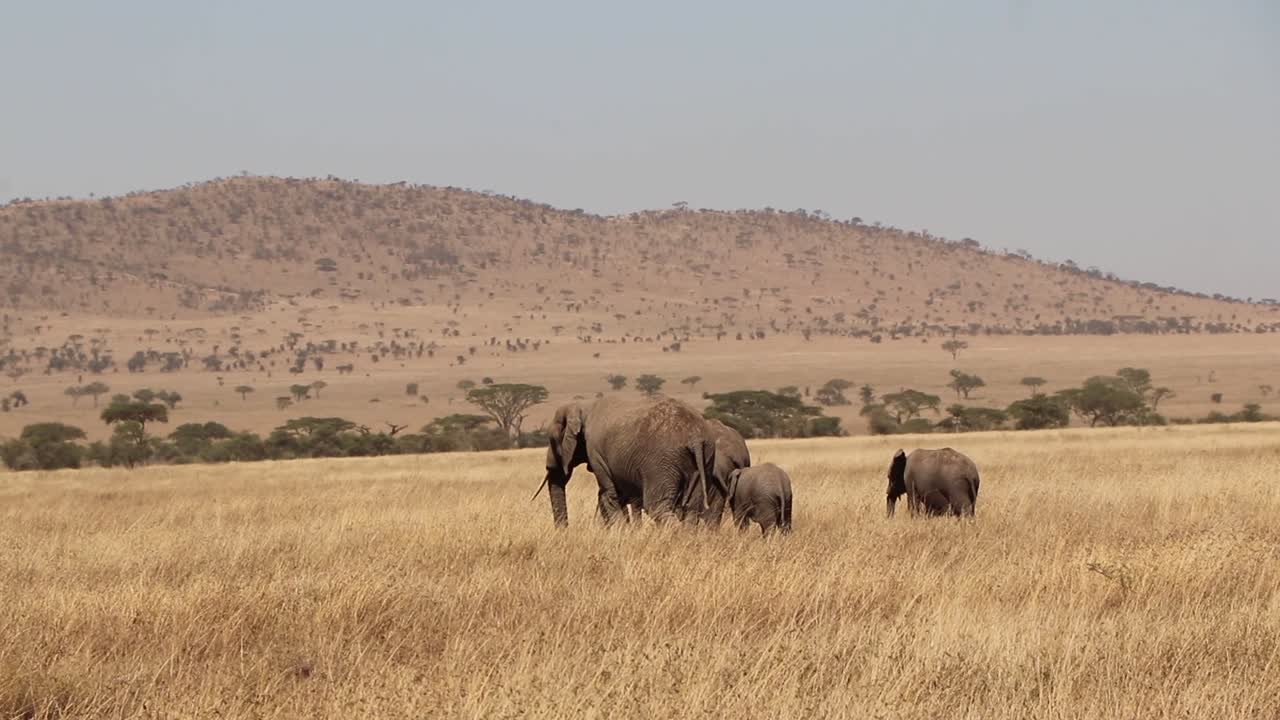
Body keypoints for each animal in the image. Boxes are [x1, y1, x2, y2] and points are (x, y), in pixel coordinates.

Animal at [535, 396, 718, 527]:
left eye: (551, 440)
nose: (564, 531)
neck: (582, 406)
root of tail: (695, 437)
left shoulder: (595, 452)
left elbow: (609, 494)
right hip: (704, 459)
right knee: (692, 509)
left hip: (662, 463)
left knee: (657, 506)